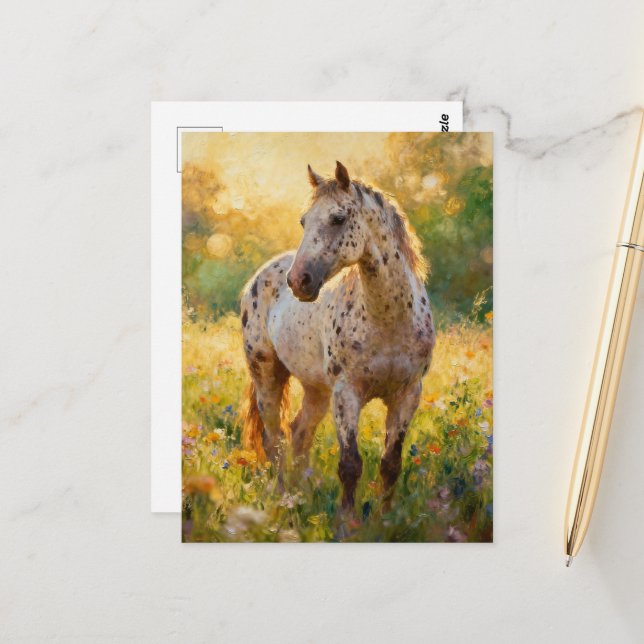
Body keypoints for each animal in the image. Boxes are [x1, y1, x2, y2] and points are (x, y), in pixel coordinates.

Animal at [240, 161, 435, 510]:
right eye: (303, 221)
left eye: (338, 218)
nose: (298, 281)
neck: (388, 320)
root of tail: (260, 276)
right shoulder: (347, 393)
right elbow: (350, 465)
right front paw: (348, 520)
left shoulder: (408, 394)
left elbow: (391, 464)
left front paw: (385, 516)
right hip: (267, 376)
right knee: (274, 439)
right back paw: (281, 498)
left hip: (316, 389)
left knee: (300, 433)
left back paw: (302, 494)